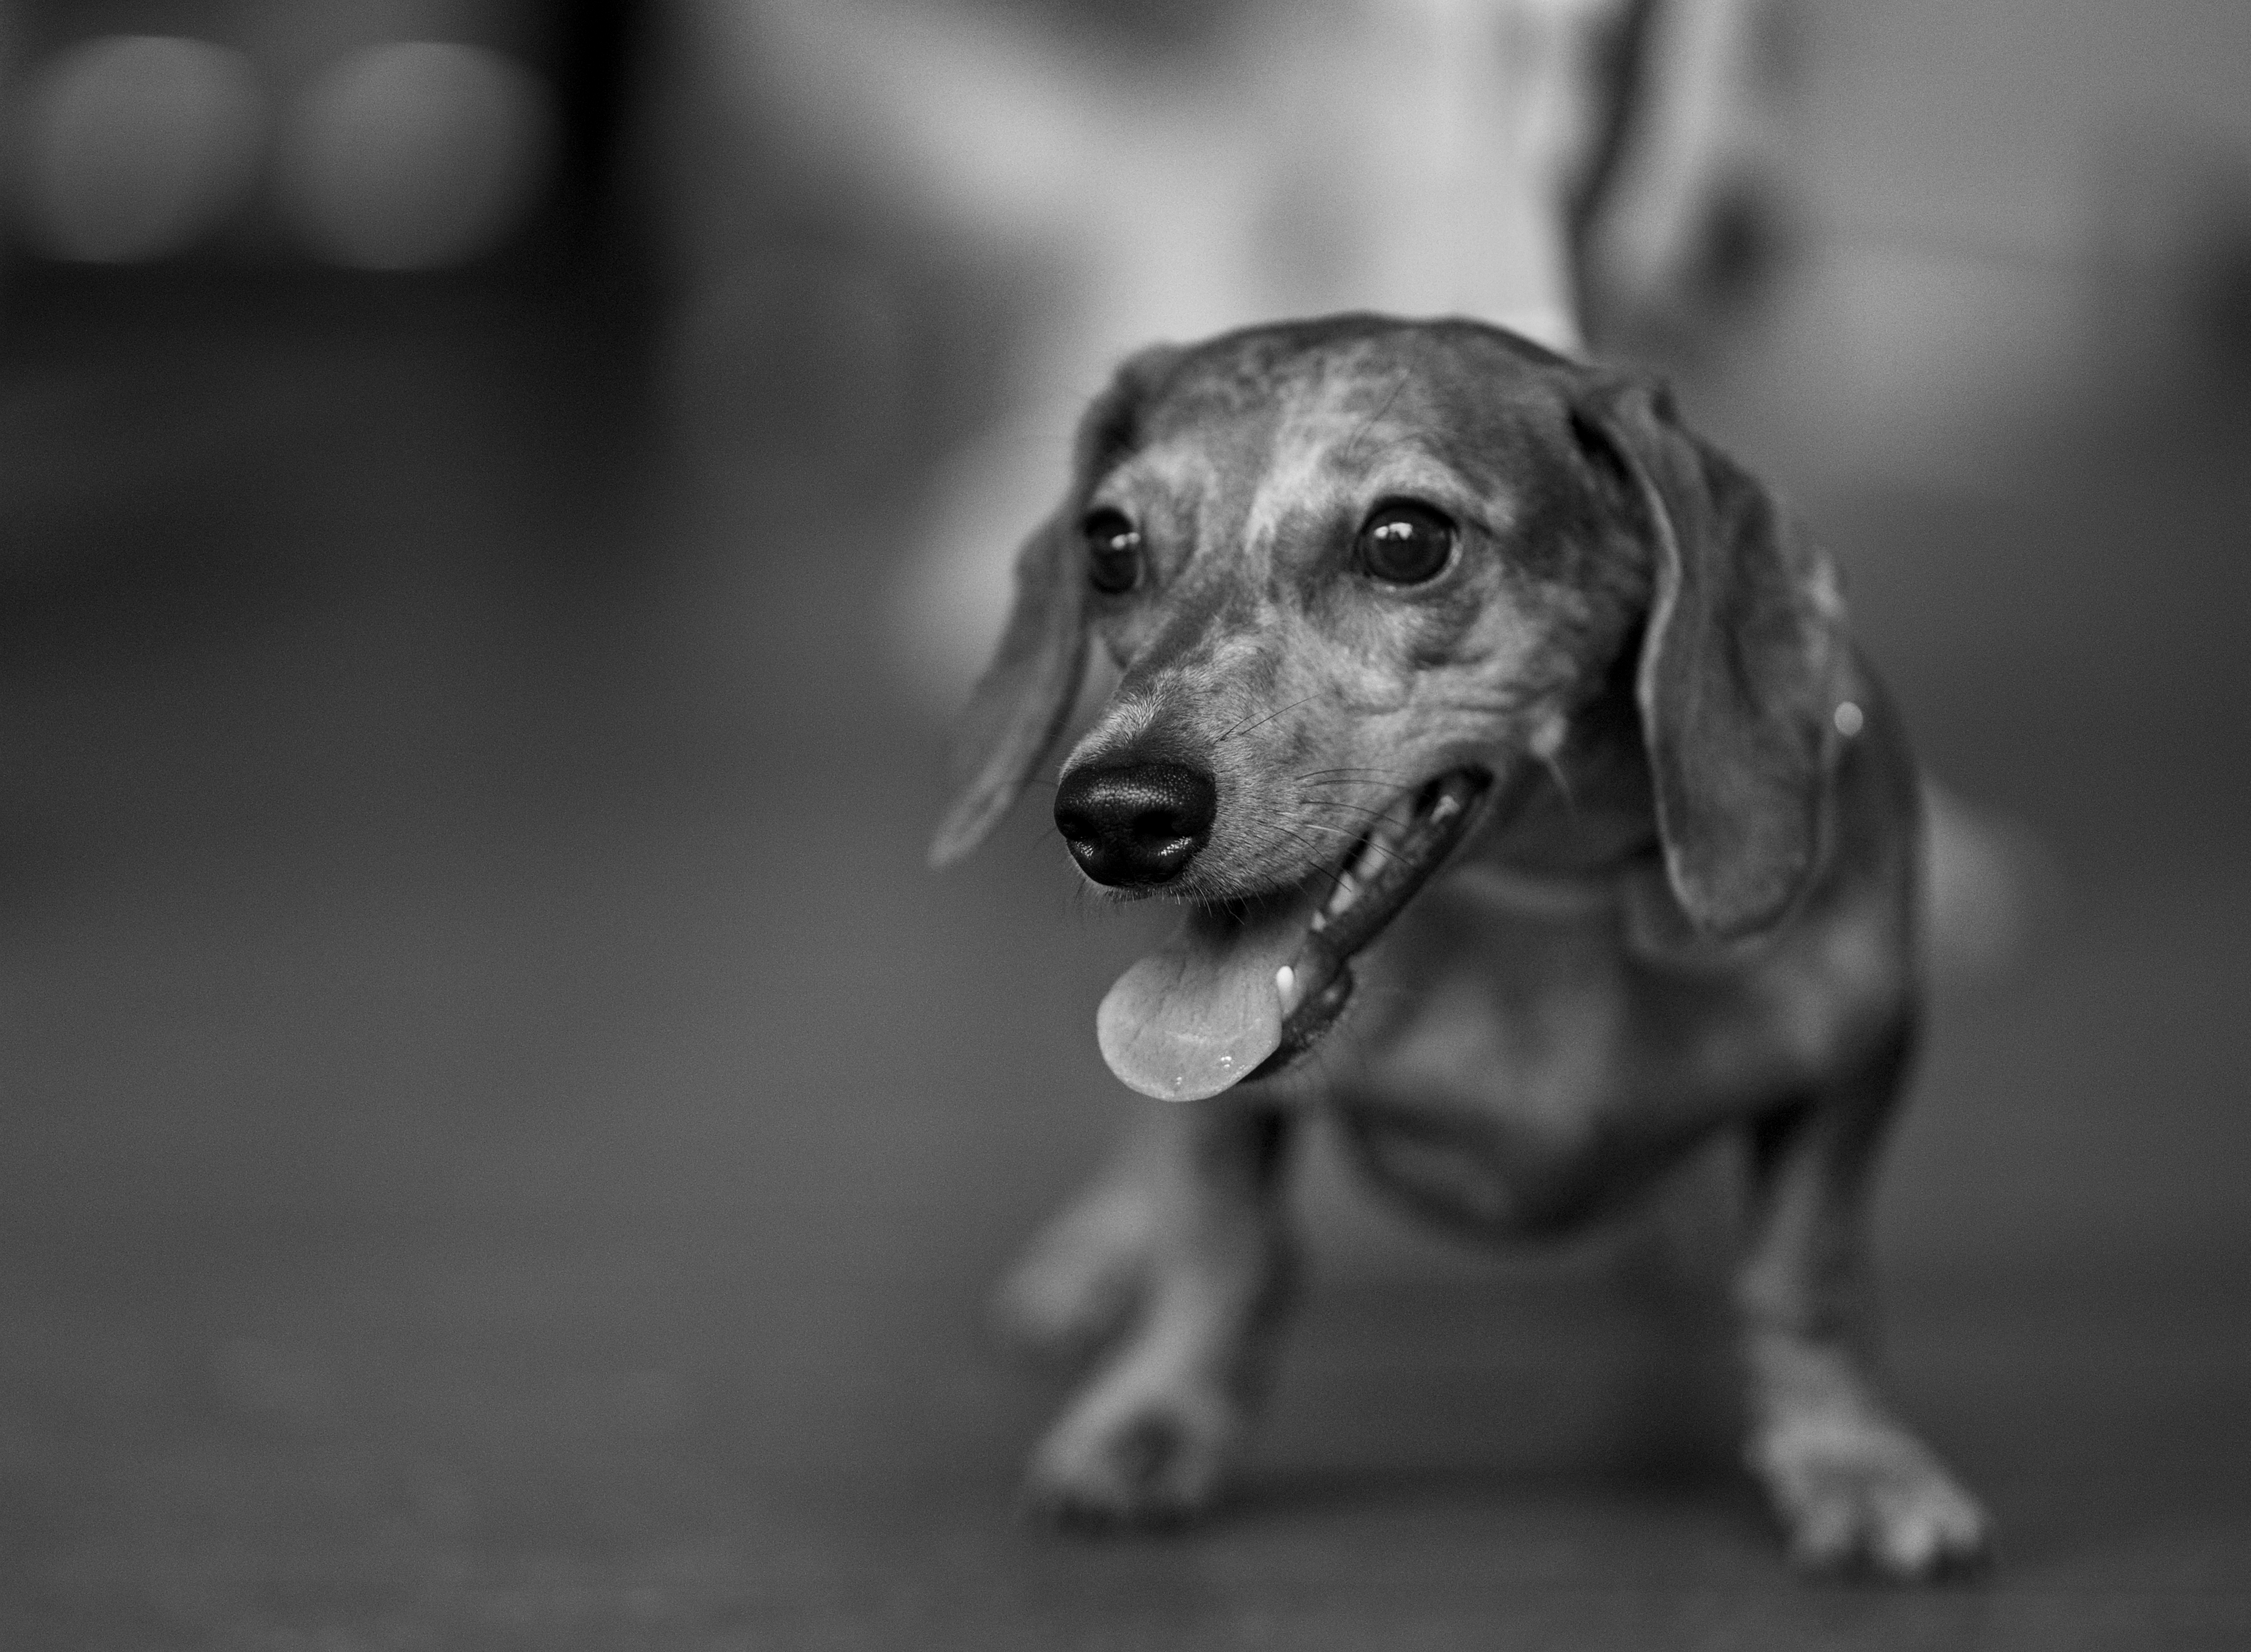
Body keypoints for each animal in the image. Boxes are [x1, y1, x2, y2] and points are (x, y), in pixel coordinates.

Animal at [927, 312, 1990, 1593]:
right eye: (1109, 544)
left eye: (1404, 540)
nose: (1117, 816)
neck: (1550, 901)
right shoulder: (1223, 1111)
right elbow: (1224, 1250)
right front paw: (1150, 1418)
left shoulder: (1855, 1058)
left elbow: (1802, 1273)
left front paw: (1848, 1460)